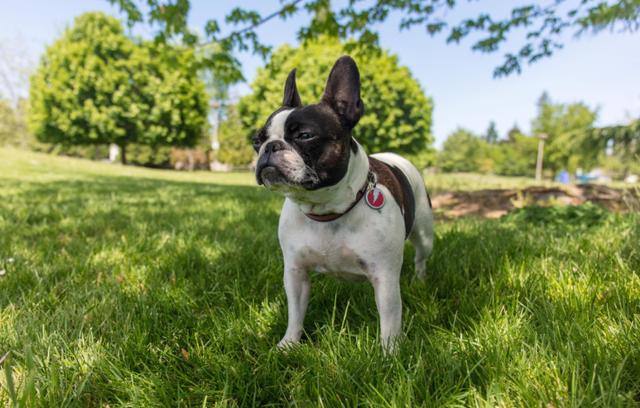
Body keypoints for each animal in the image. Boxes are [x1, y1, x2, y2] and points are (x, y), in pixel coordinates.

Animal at [252, 55, 432, 352]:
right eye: (257, 141)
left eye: (304, 136)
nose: (270, 147)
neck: (327, 209)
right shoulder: (295, 273)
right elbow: (295, 313)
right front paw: (288, 344)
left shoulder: (384, 277)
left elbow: (390, 320)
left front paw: (390, 354)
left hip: (425, 233)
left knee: (420, 257)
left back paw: (420, 281)